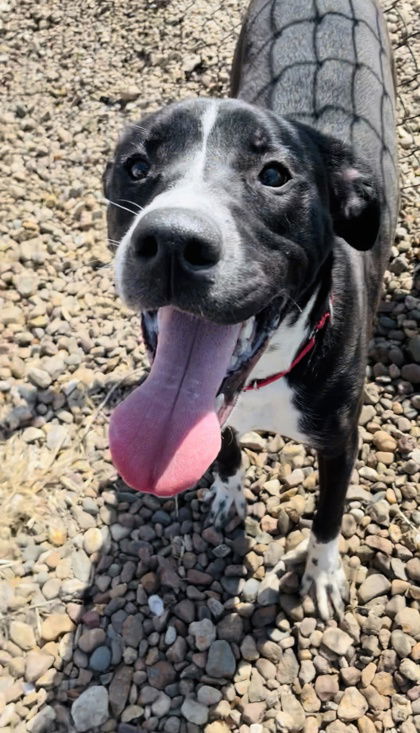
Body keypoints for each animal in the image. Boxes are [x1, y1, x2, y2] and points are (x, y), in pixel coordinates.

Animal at [103, 0, 398, 616]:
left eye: (274, 175)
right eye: (136, 166)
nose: (173, 242)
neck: (270, 375)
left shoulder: (342, 441)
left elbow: (329, 514)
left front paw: (321, 574)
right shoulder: (216, 417)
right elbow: (225, 451)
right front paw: (227, 494)